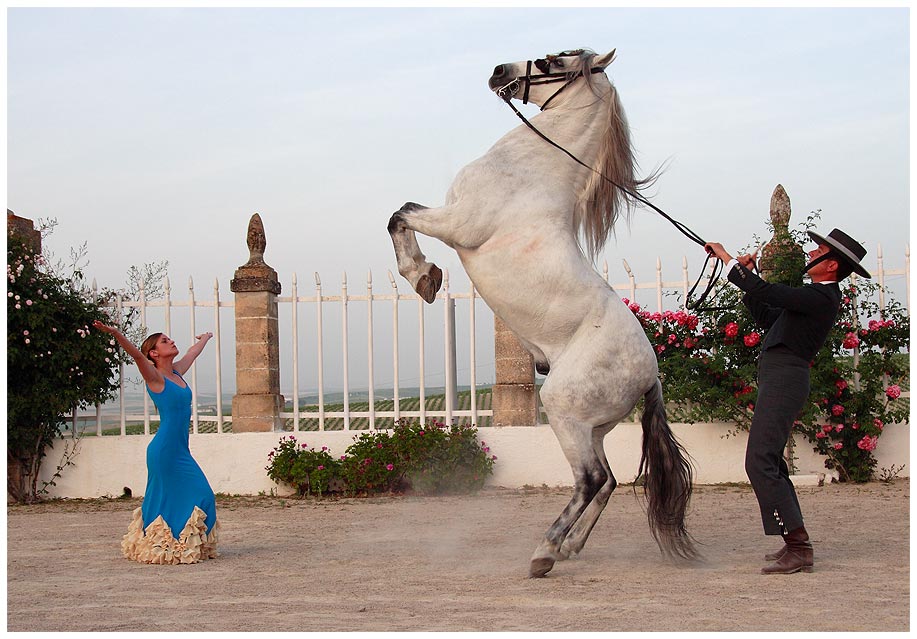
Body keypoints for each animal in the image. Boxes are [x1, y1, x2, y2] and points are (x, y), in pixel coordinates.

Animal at [384, 47, 696, 576]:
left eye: (555, 61)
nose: (499, 73)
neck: (532, 170)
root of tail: (650, 374)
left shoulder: (458, 223)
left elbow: (400, 214)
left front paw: (424, 277)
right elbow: (402, 210)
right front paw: (425, 276)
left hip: (565, 413)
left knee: (591, 480)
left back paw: (544, 553)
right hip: (591, 426)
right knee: (609, 480)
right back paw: (571, 548)